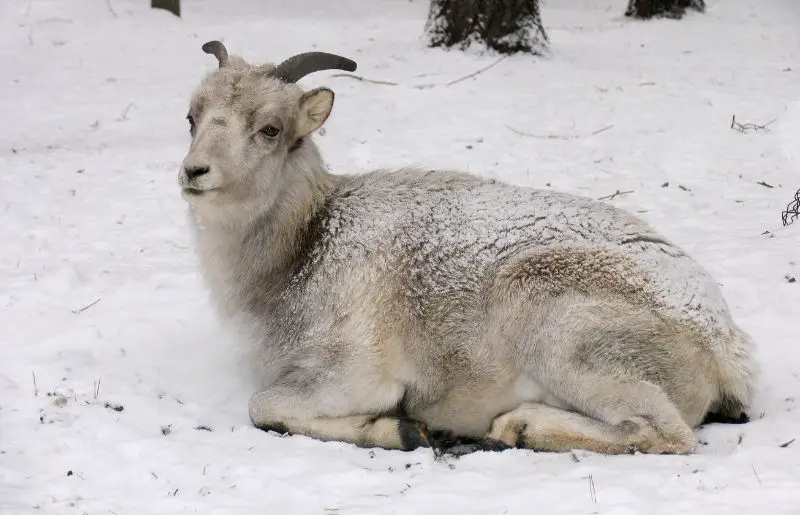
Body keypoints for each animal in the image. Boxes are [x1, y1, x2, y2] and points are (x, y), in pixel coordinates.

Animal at [178, 40, 758, 454]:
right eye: (192, 118)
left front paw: (405, 431)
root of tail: (727, 353)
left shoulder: (355, 374)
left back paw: (516, 427)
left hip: (565, 333)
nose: (194, 172)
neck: (305, 246)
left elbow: (263, 407)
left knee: (666, 433)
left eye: (270, 128)